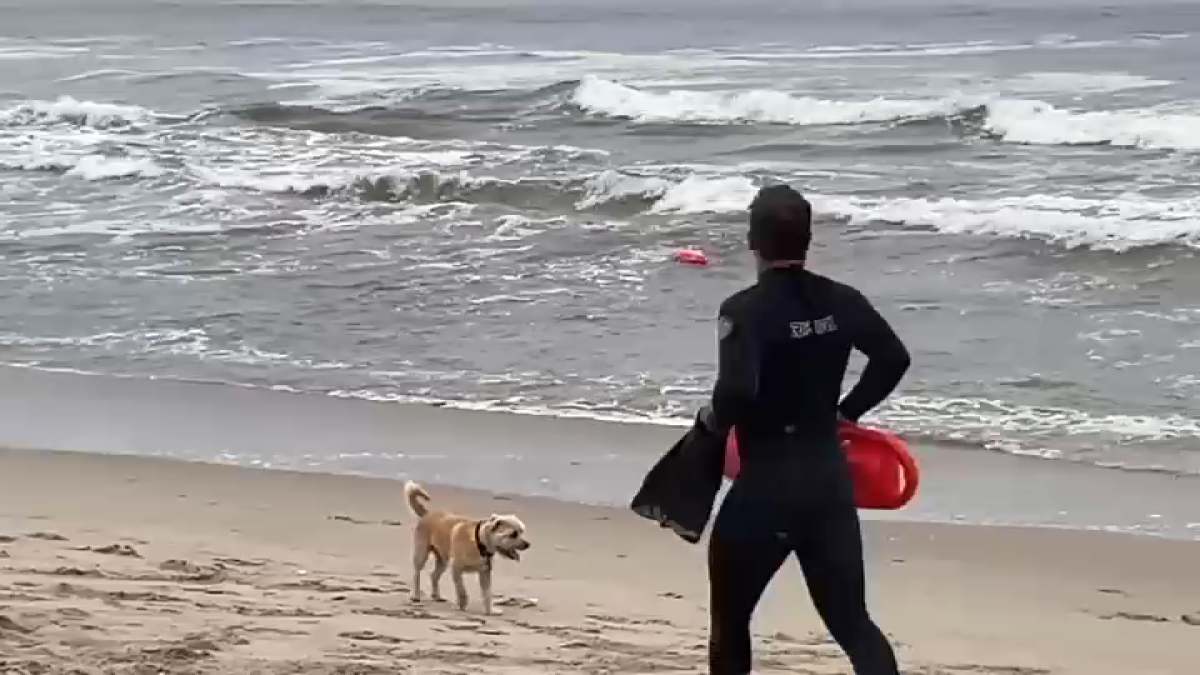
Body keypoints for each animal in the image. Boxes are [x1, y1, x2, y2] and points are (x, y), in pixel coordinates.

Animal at [403, 475, 530, 612]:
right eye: (513, 534)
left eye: (521, 531)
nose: (528, 544)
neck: (479, 542)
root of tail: (427, 513)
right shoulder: (456, 568)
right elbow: (461, 589)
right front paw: (462, 603)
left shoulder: (485, 574)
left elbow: (487, 594)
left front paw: (490, 610)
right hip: (422, 553)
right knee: (417, 574)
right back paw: (416, 595)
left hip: (442, 559)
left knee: (433, 575)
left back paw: (437, 596)